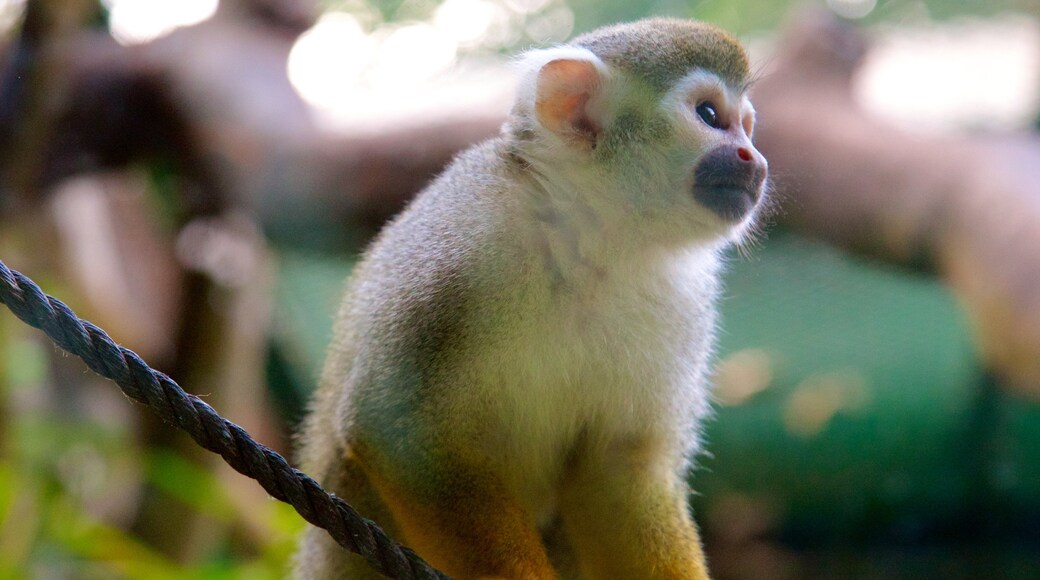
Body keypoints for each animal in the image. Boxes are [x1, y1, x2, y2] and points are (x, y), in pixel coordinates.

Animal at [297, 17, 769, 580]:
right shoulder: (466, 241)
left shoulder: (684, 304)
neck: (593, 240)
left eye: (745, 126)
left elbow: (619, 473)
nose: (756, 160)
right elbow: (396, 425)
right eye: (710, 116)